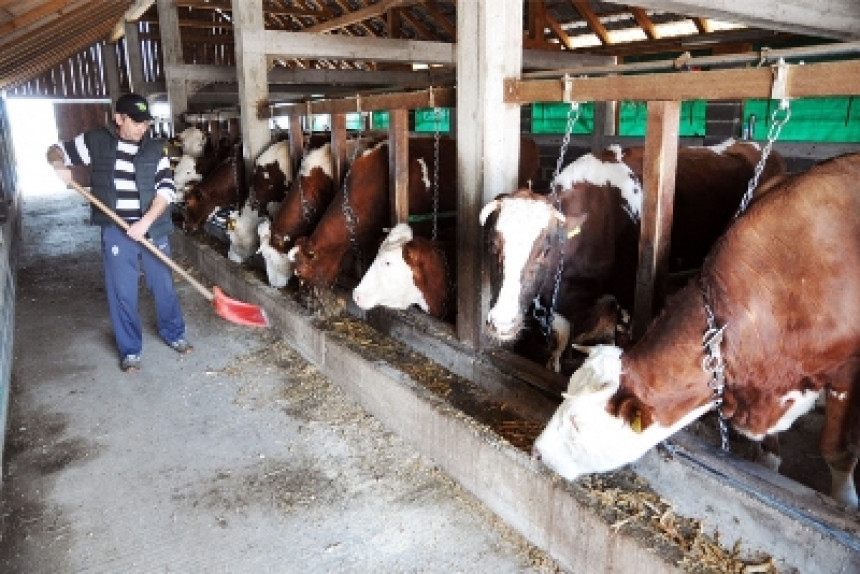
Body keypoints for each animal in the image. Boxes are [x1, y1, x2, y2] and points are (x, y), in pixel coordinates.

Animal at [478, 140, 788, 374]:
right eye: (492, 244)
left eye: (545, 250)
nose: (502, 324)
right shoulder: (561, 299)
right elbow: (559, 343)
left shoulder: (628, 296)